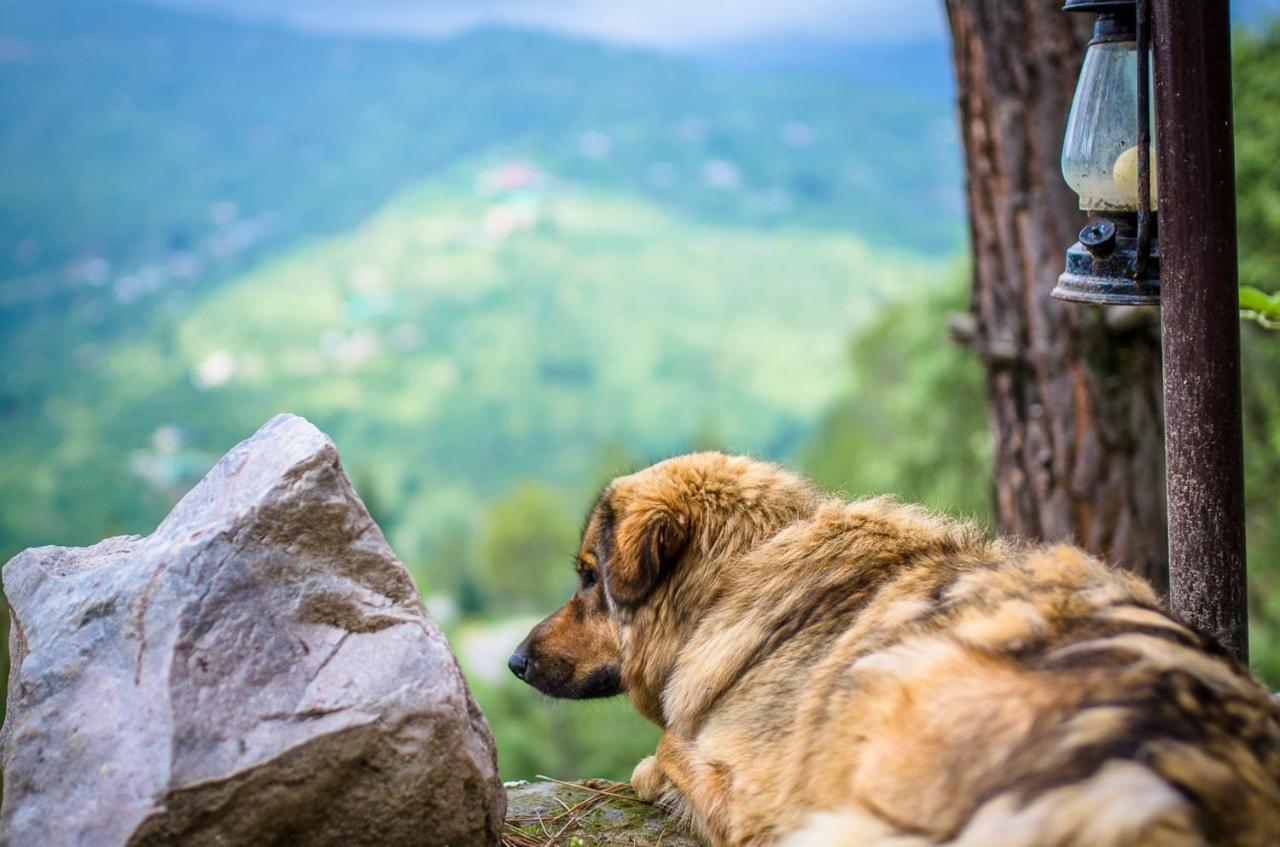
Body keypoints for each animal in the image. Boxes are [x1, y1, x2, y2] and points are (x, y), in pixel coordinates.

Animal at [506, 455, 1280, 844]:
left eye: (588, 577)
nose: (513, 661)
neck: (740, 575)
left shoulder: (751, 799)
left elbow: (668, 749)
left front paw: (648, 771)